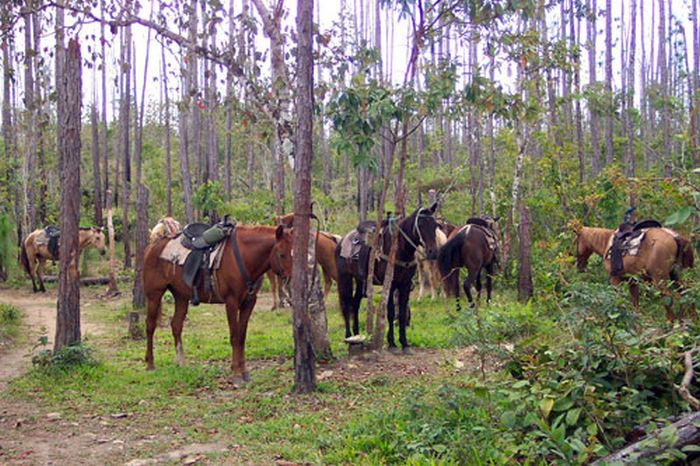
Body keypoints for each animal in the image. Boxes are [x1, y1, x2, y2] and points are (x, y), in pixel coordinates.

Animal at [145, 225, 292, 382]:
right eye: (281, 254)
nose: (291, 279)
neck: (244, 257)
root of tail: (152, 246)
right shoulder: (231, 302)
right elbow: (234, 336)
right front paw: (236, 373)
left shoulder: (249, 302)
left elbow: (242, 336)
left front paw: (244, 371)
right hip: (154, 295)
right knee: (150, 326)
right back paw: (150, 364)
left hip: (181, 296)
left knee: (176, 325)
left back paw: (181, 362)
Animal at [334, 204, 438, 354]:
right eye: (421, 224)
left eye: (435, 225)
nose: (433, 252)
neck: (400, 249)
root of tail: (341, 240)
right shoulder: (390, 284)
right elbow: (390, 313)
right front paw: (392, 344)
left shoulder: (405, 285)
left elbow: (401, 313)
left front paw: (404, 344)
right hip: (344, 278)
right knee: (346, 304)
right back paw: (348, 336)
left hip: (360, 281)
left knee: (355, 303)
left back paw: (357, 334)